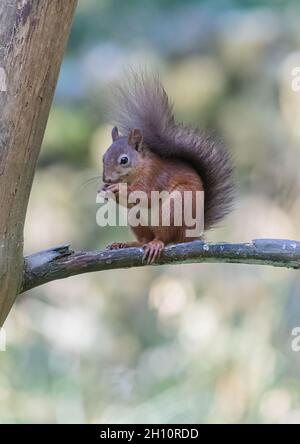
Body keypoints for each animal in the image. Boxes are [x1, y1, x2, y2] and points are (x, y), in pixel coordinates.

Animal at [99, 70, 233, 262]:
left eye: (124, 160)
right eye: (103, 157)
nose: (106, 178)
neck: (138, 170)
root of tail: (191, 236)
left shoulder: (154, 176)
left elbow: (146, 195)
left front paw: (117, 189)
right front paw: (105, 190)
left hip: (175, 208)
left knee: (165, 237)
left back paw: (157, 244)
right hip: (136, 218)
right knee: (144, 239)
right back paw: (127, 244)